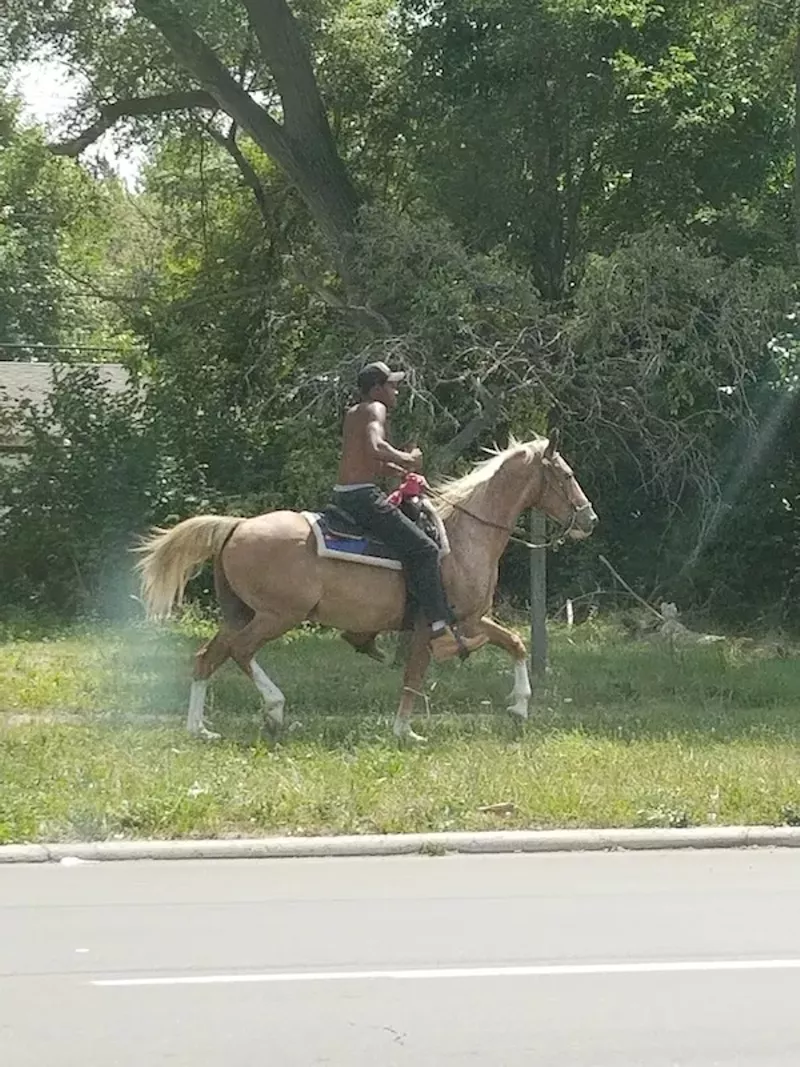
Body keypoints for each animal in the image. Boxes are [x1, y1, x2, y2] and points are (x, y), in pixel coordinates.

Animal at [137, 433, 597, 742]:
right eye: (567, 475)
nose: (589, 519)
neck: (464, 534)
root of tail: (235, 527)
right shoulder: (441, 623)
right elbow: (416, 674)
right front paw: (405, 731)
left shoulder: (468, 618)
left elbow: (514, 643)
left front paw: (518, 708)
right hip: (276, 615)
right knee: (240, 651)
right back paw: (275, 710)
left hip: (240, 613)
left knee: (206, 658)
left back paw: (199, 729)